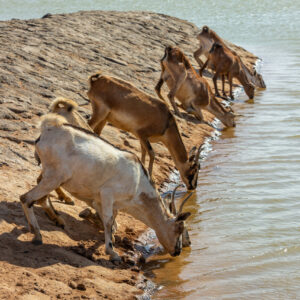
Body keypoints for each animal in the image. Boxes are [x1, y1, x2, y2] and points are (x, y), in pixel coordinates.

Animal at [19, 113, 192, 262]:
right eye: (179, 228)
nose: (178, 251)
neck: (138, 182)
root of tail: (47, 132)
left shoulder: (104, 202)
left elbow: (111, 222)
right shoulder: (107, 194)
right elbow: (109, 221)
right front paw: (113, 253)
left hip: (50, 176)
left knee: (38, 196)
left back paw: (47, 224)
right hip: (55, 177)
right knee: (26, 198)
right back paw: (38, 236)